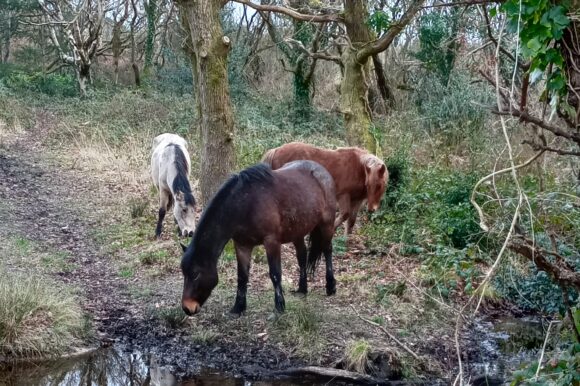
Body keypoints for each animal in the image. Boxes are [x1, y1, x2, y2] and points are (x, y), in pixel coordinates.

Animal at [180, 161, 336, 316]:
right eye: (184, 272)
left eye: (196, 274)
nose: (187, 308)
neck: (246, 203)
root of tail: (320, 169)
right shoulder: (242, 245)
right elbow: (242, 276)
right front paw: (238, 307)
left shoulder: (271, 242)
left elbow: (275, 274)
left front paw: (279, 307)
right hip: (297, 232)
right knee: (302, 256)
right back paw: (302, 289)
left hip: (326, 225)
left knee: (327, 250)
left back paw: (331, 287)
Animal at [262, 141, 390, 234]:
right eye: (369, 185)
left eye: (379, 185)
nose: (371, 209)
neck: (359, 167)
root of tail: (277, 149)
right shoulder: (343, 195)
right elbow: (345, 215)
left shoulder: (356, 200)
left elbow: (351, 221)